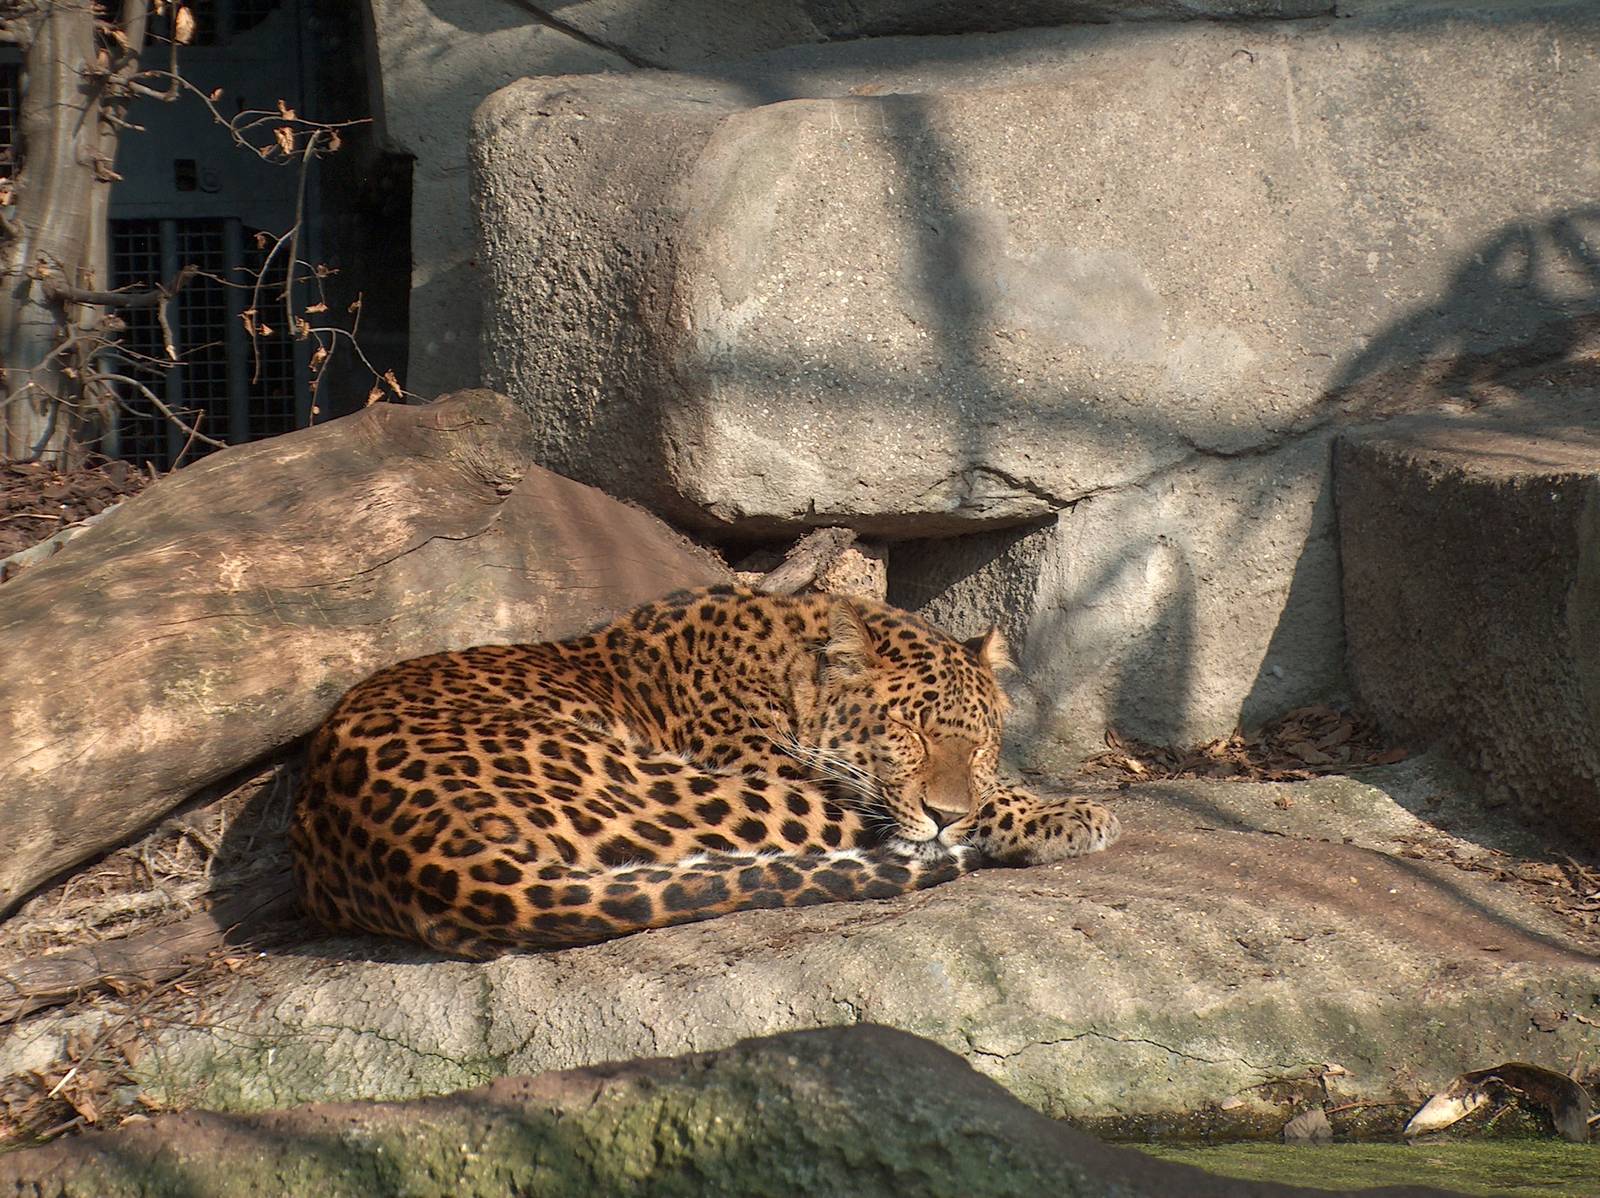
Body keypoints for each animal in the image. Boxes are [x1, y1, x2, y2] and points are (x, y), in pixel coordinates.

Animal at [291, 585, 1120, 958]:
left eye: (979, 744)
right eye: (908, 733)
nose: (946, 811)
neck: (789, 658)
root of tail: (414, 846)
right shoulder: (788, 771)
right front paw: (1062, 813)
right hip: (715, 791)